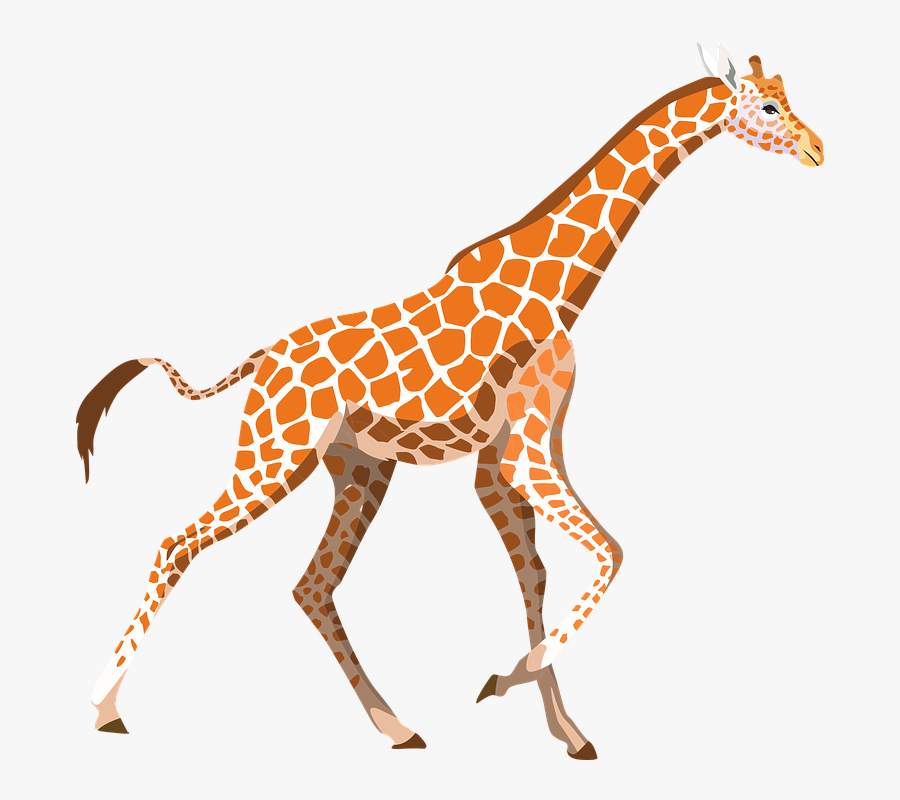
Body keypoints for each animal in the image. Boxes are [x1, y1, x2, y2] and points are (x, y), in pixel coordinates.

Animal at [78, 44, 822, 757]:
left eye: (786, 95)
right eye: (766, 105)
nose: (818, 148)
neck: (559, 290)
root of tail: (262, 360)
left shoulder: (506, 460)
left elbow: (536, 575)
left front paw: (566, 730)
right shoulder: (523, 457)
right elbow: (609, 553)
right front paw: (504, 682)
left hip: (358, 469)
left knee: (312, 585)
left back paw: (397, 727)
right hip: (273, 455)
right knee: (176, 544)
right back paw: (105, 709)